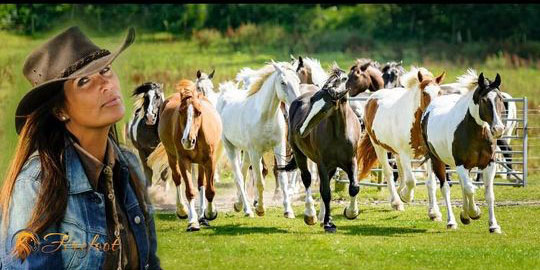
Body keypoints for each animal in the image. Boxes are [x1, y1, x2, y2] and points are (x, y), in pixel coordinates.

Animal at [157, 79, 223, 231]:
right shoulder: (183, 161)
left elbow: (209, 189)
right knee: (177, 179)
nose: (187, 140)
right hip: (171, 156)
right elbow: (190, 191)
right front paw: (193, 221)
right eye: (181, 111)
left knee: (201, 183)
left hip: (201, 163)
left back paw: (203, 216)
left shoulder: (209, 161)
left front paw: (210, 213)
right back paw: (182, 210)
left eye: (199, 112)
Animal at [216, 60, 302, 217]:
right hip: (232, 148)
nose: (297, 103)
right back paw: (247, 210)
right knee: (238, 176)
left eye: (298, 81)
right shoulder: (256, 152)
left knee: (243, 172)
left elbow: (282, 178)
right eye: (283, 82)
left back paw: (238, 204)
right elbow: (260, 181)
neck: (265, 116)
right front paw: (260, 209)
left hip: (246, 151)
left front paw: (288, 211)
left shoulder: (279, 147)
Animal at [278, 65, 362, 232]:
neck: (339, 134)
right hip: (300, 155)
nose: (300, 129)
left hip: (332, 167)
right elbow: (326, 192)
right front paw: (329, 224)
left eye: (325, 108)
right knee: (307, 179)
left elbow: (354, 187)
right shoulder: (322, 164)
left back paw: (323, 217)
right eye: (312, 102)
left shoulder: (351, 161)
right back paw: (311, 215)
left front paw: (351, 212)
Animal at [356, 66, 446, 213]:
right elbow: (411, 181)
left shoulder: (429, 155)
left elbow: (430, 183)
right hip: (379, 147)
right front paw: (405, 196)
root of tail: (372, 98)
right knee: (389, 172)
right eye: (424, 93)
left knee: (399, 170)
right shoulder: (405, 154)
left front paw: (434, 212)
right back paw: (396, 201)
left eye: (439, 92)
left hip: (395, 151)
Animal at [422, 71, 506, 234]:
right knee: (446, 188)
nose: (498, 129)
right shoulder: (460, 164)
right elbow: (470, 189)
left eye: (500, 98)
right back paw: (452, 221)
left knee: (463, 186)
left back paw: (464, 215)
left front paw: (493, 225)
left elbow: (488, 194)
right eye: (484, 100)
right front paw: (475, 213)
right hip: (438, 161)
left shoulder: (489, 164)